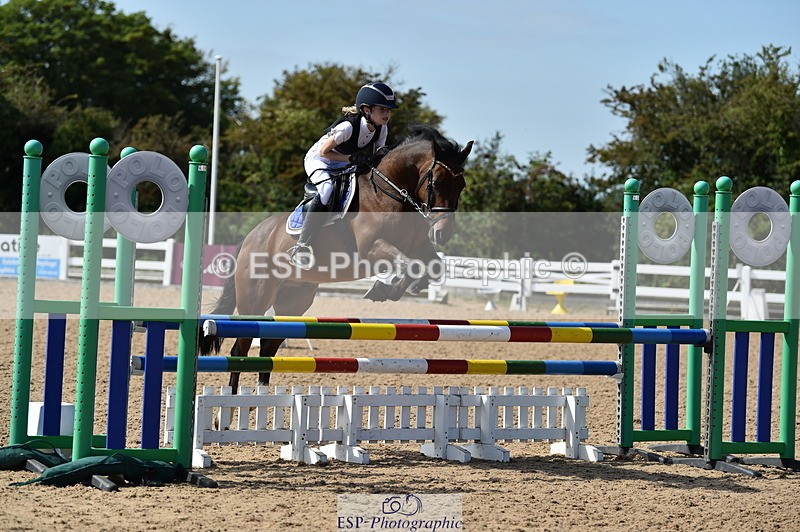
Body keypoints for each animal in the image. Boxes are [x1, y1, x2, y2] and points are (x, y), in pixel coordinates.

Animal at [200, 124, 474, 392]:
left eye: (461, 186)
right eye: (436, 183)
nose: (443, 233)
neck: (390, 194)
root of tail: (250, 238)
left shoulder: (418, 246)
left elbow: (433, 266)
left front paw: (400, 287)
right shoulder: (372, 248)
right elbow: (409, 264)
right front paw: (387, 288)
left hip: (293, 300)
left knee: (268, 347)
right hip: (255, 298)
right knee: (241, 348)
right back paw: (232, 401)